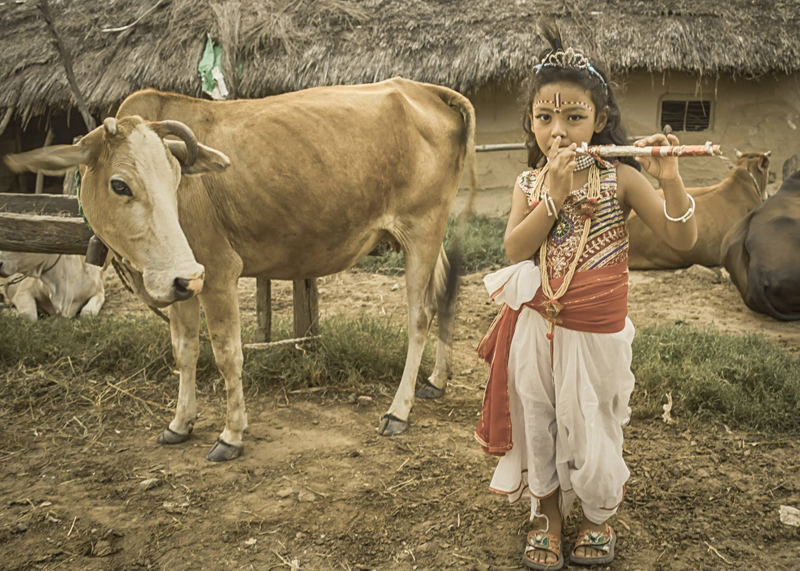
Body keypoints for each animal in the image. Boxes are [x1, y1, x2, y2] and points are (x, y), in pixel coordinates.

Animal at [3, 77, 478, 460]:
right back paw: (436, 381)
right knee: (444, 296)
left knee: (419, 315)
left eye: (176, 179)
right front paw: (180, 423)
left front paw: (231, 434)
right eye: (119, 184)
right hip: (428, 238)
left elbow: (227, 355)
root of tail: (424, 89)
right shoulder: (182, 281)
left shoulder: (214, 273)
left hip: (421, 229)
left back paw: (399, 410)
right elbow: (185, 351)